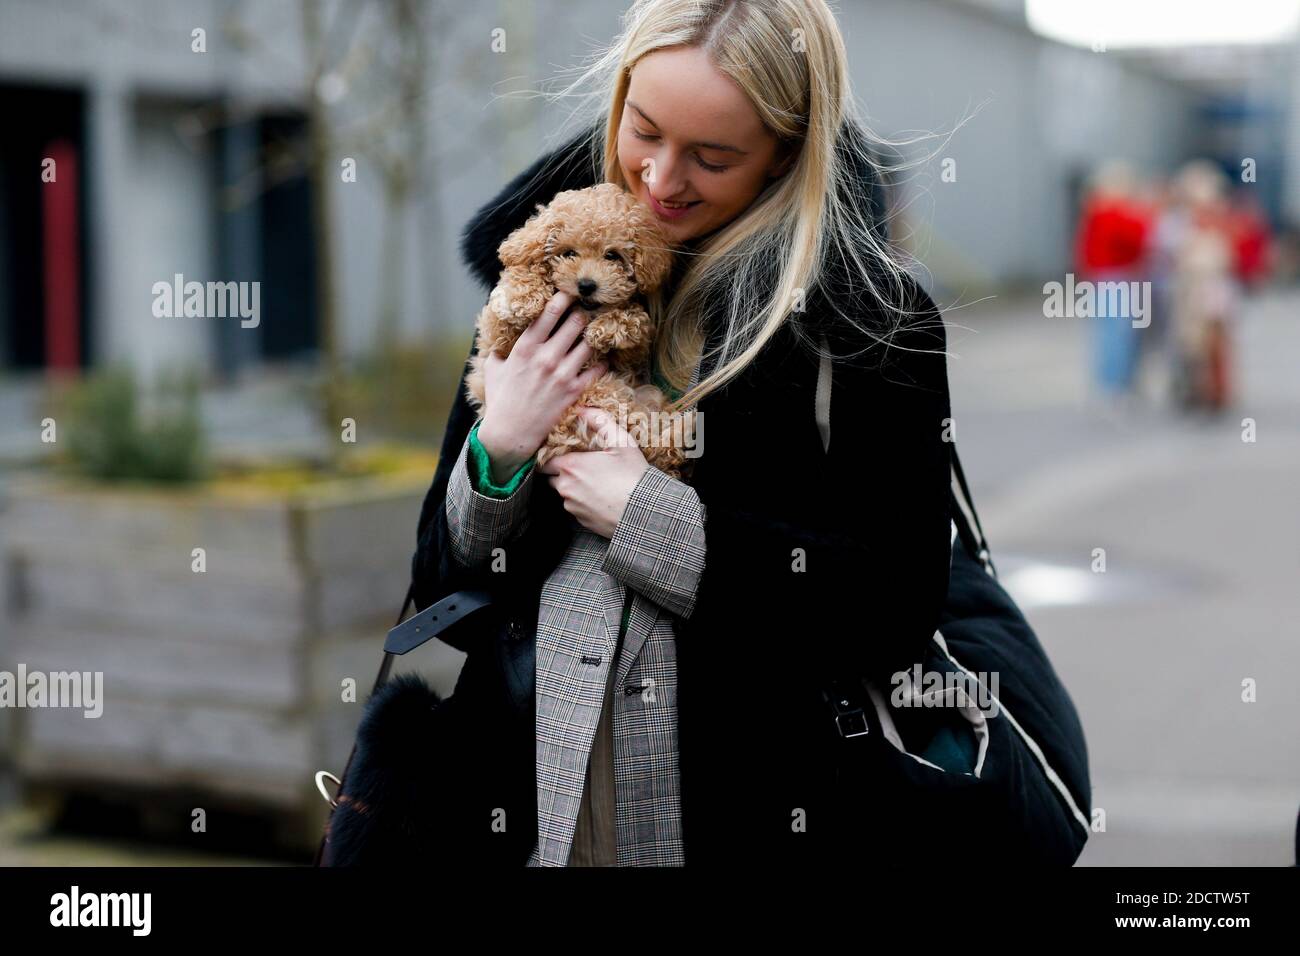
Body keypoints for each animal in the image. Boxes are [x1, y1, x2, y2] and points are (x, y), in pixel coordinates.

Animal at [462, 182, 696, 478]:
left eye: (612, 255)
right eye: (569, 253)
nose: (587, 285)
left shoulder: (630, 361)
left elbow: (636, 326)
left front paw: (609, 327)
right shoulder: (498, 341)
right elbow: (512, 293)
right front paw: (522, 297)